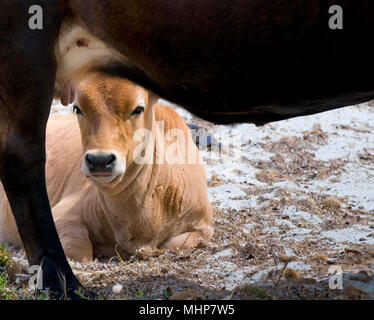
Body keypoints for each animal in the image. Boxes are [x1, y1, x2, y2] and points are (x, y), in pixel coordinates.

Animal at [0, 74, 213, 262]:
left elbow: (173, 244)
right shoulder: (61, 215)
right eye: (77, 108)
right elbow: (80, 250)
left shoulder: (203, 227)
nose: (100, 160)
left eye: (138, 109)